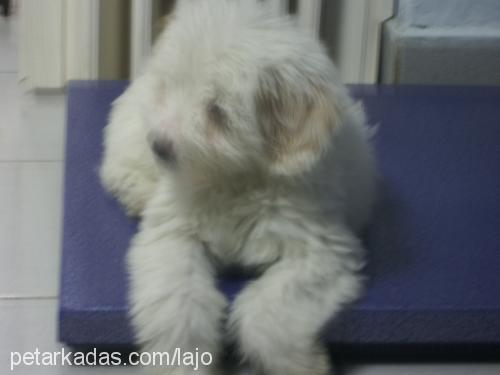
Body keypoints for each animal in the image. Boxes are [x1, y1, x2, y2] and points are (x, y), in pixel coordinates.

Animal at [100, 0, 376, 375]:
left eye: (217, 111)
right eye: (170, 86)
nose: (159, 145)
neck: (233, 181)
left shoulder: (321, 251)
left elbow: (267, 311)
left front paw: (301, 362)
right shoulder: (173, 235)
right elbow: (178, 305)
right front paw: (182, 363)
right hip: (131, 131)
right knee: (117, 166)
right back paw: (137, 192)